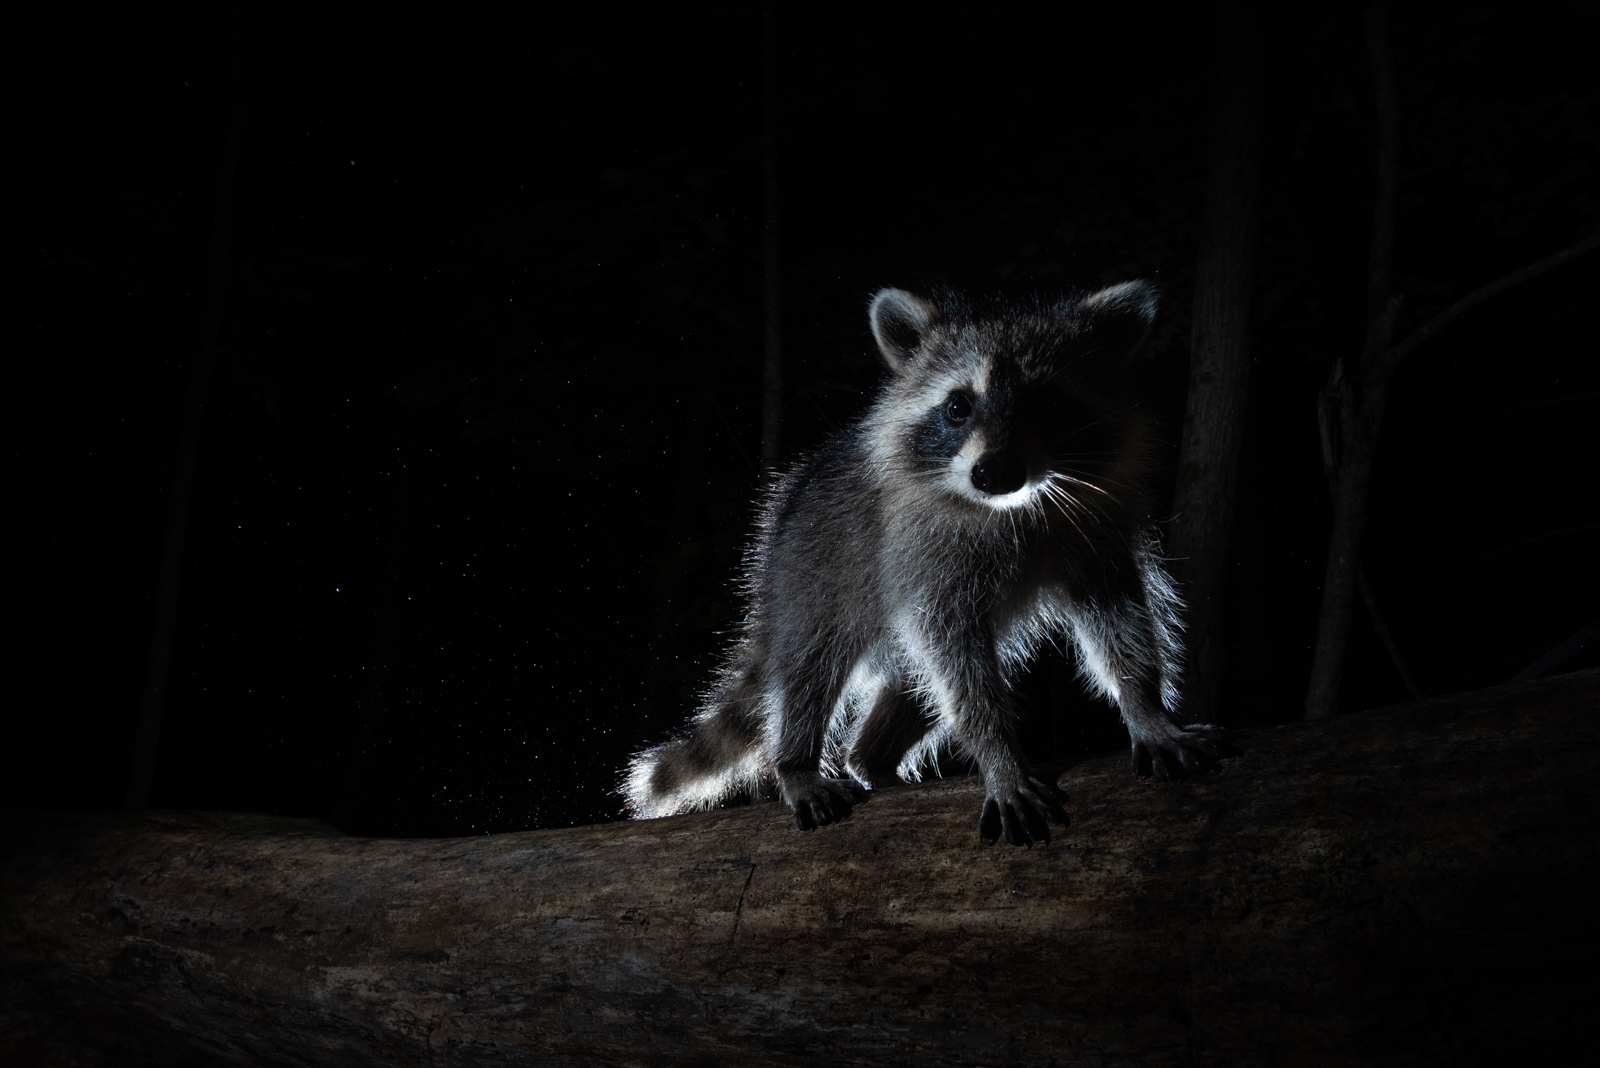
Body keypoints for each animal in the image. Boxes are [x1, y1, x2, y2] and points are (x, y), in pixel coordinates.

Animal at [623, 283, 1222, 846]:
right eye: (958, 406)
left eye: (1046, 402)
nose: (994, 471)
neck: (1011, 508)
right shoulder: (926, 560)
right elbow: (960, 667)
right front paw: (999, 755)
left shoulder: (1094, 537)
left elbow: (1120, 620)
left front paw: (1146, 709)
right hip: (812, 575)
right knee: (809, 668)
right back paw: (795, 760)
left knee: (913, 688)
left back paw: (874, 761)